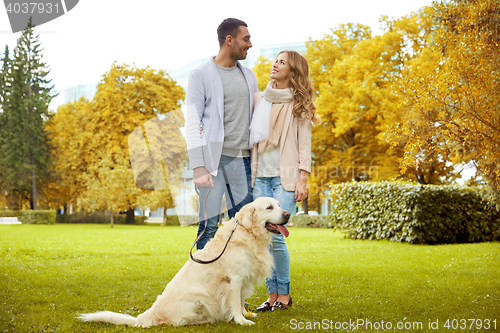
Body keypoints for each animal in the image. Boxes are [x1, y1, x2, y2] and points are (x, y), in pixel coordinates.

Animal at [77, 196, 290, 326]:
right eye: (269, 207)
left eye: (279, 205)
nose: (288, 214)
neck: (249, 234)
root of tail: (148, 314)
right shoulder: (235, 279)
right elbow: (235, 303)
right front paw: (241, 320)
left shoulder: (243, 280)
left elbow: (240, 301)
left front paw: (246, 315)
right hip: (197, 299)